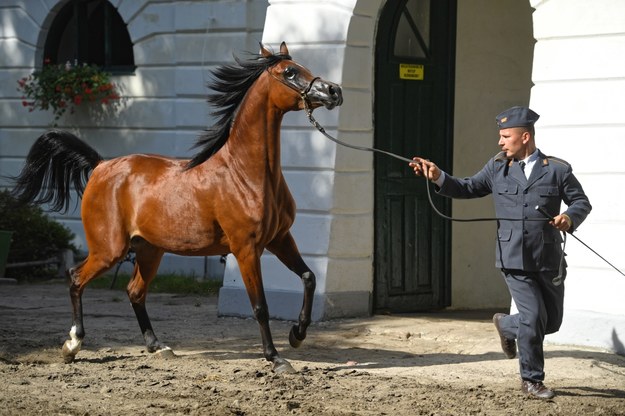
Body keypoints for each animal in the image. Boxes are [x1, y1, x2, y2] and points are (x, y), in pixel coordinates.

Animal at [9, 42, 342, 374]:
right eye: (289, 72)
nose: (333, 91)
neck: (245, 172)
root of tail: (101, 166)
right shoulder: (246, 248)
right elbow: (260, 306)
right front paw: (276, 358)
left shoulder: (279, 238)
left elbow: (309, 277)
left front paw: (297, 334)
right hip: (109, 250)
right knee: (76, 278)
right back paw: (73, 344)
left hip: (148, 249)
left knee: (134, 291)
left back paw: (158, 347)